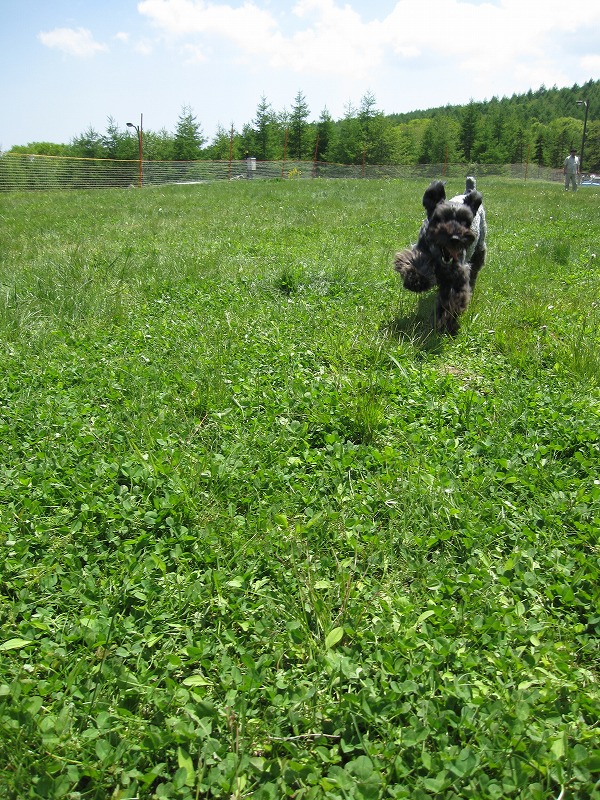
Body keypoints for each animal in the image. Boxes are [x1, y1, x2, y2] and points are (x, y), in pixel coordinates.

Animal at [394, 178, 488, 334]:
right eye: (440, 218)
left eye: (466, 222)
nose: (455, 238)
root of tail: (468, 191)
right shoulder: (421, 251)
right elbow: (415, 263)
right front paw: (416, 280)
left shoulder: (457, 276)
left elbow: (453, 298)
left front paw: (447, 319)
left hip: (479, 252)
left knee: (474, 273)